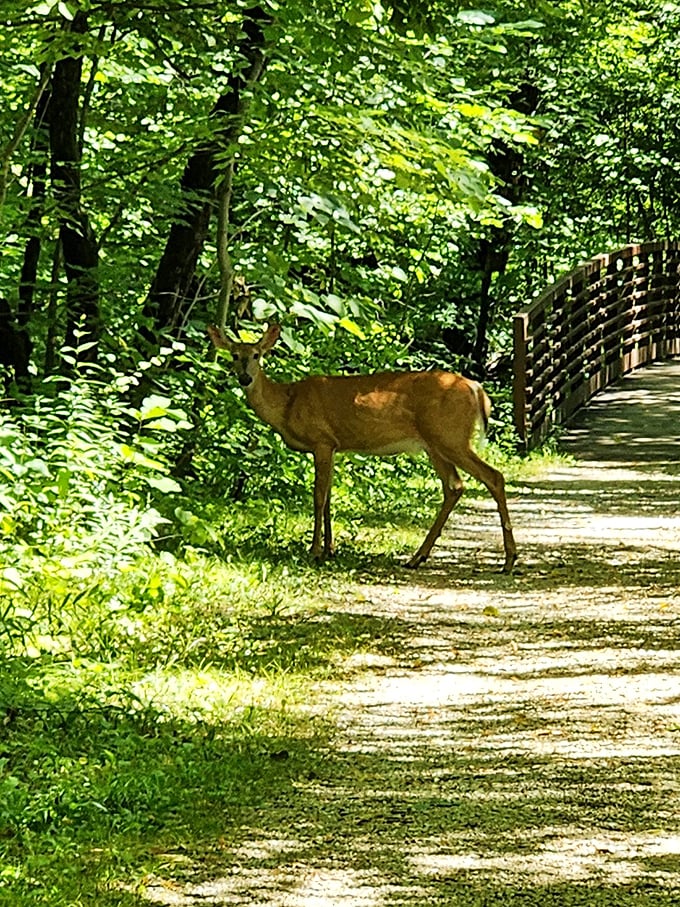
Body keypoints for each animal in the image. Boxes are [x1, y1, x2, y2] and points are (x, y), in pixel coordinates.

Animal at [207, 322, 516, 572]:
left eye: (256, 354)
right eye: (234, 355)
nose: (245, 377)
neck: (287, 404)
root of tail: (477, 388)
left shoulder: (321, 441)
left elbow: (318, 497)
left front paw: (314, 550)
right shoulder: (332, 446)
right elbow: (329, 498)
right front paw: (329, 550)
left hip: (450, 436)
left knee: (493, 477)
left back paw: (509, 560)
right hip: (435, 443)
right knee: (454, 486)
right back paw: (418, 557)